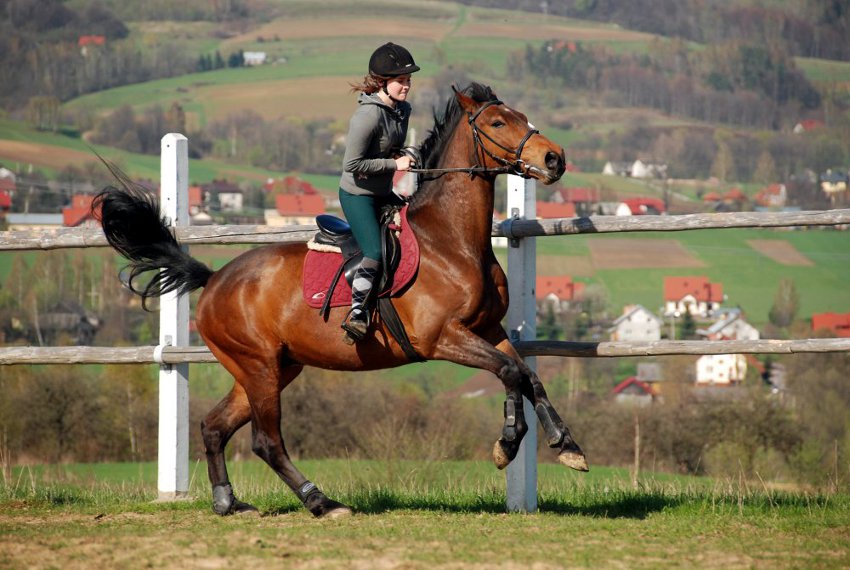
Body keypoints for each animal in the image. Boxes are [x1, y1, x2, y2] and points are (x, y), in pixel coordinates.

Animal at [93, 82, 584, 516]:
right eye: (499, 122)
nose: (554, 158)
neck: (451, 240)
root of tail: (214, 279)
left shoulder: (488, 329)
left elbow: (526, 376)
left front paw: (566, 445)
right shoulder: (442, 338)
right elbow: (509, 372)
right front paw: (508, 443)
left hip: (270, 368)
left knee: (215, 427)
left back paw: (228, 503)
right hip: (259, 368)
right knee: (266, 442)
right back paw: (321, 503)